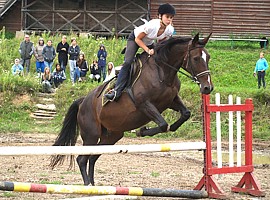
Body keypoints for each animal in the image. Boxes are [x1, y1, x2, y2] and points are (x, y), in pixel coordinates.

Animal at [49, 32, 214, 186]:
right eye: (196, 58)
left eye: (208, 57)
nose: (208, 87)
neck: (162, 72)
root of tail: (83, 101)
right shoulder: (144, 104)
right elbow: (162, 124)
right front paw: (142, 131)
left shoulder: (170, 101)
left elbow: (185, 114)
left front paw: (169, 127)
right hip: (91, 135)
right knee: (82, 159)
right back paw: (88, 186)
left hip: (111, 136)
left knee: (93, 157)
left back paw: (94, 185)